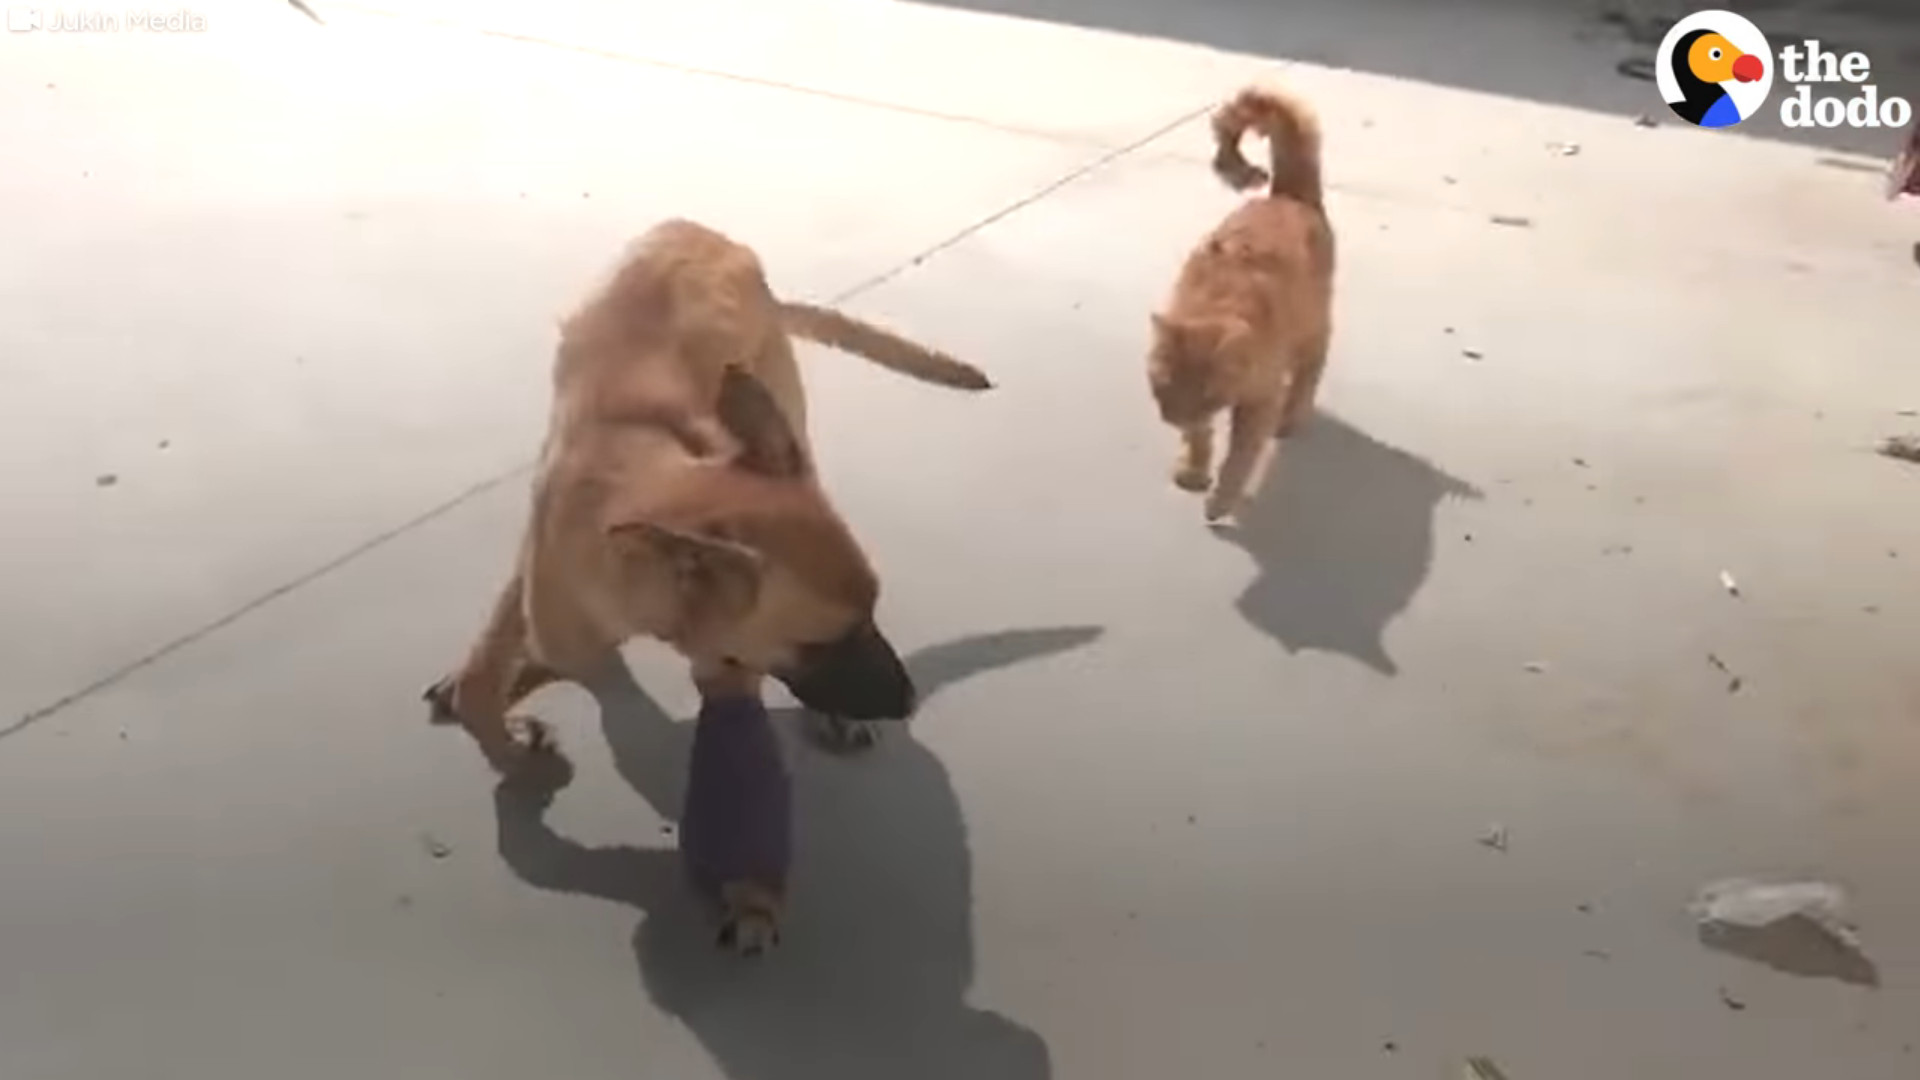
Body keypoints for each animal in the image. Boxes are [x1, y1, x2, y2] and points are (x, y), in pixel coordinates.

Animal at [430, 220, 998, 780]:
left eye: (873, 613)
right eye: (820, 644)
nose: (910, 700)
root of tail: (708, 236)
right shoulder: (547, 588)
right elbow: (484, 678)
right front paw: (505, 742)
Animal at [1144, 85, 1344, 518]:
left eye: (1208, 394)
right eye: (1163, 384)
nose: (1172, 418)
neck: (1216, 304)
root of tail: (1288, 195)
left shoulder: (1259, 402)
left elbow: (1240, 457)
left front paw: (1221, 501)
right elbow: (1200, 437)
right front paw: (1193, 468)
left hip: (1312, 327)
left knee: (1311, 368)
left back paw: (1293, 415)